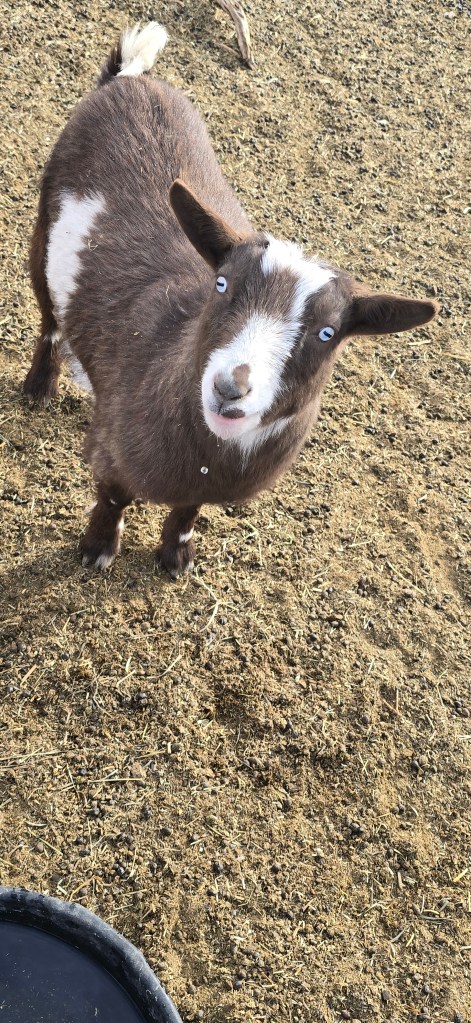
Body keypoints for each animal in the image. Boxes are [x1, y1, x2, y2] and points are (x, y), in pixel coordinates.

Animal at [23, 23, 438, 577]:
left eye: (328, 332)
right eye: (221, 284)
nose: (230, 388)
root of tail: (130, 79)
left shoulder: (204, 487)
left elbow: (188, 509)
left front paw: (176, 557)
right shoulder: (112, 446)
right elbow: (113, 496)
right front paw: (97, 550)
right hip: (45, 230)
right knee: (49, 315)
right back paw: (38, 386)